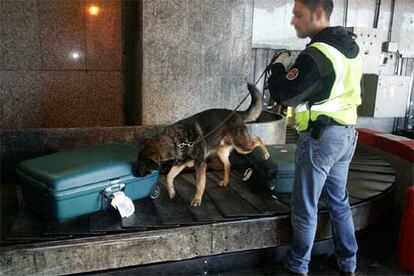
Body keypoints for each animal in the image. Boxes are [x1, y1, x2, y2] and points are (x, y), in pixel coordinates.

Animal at [135, 83, 268, 206]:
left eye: (144, 162)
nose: (135, 174)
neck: (175, 141)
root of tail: (237, 113)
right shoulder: (181, 164)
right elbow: (169, 176)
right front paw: (171, 192)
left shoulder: (200, 164)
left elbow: (199, 184)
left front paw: (197, 199)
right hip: (222, 151)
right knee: (228, 164)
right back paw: (225, 181)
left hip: (242, 146)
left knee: (258, 140)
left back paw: (266, 154)